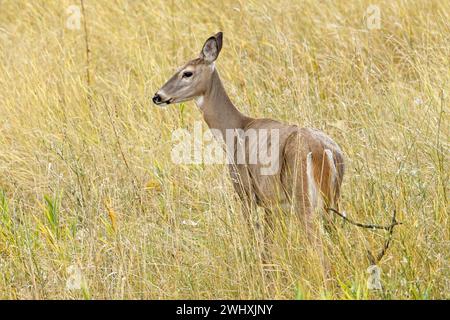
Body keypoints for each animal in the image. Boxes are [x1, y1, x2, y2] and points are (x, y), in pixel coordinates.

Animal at [153, 31, 346, 274]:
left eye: (187, 72)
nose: (157, 96)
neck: (234, 131)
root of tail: (325, 151)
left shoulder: (245, 190)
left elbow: (253, 236)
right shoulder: (273, 203)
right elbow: (268, 245)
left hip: (303, 196)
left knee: (318, 244)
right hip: (332, 200)